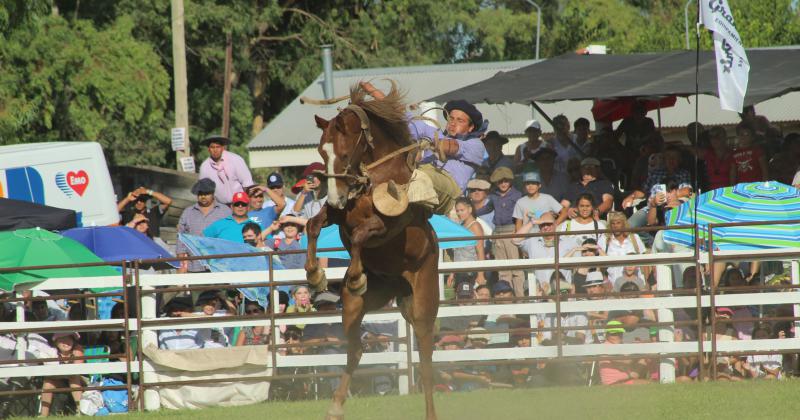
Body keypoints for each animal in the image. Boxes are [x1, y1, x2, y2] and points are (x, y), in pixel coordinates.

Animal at [304, 83, 440, 420]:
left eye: (342, 153)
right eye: (321, 153)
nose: (335, 196)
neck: (373, 175)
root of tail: (398, 285)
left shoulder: (384, 225)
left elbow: (359, 237)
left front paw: (354, 275)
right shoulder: (336, 214)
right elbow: (313, 225)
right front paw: (314, 275)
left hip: (424, 306)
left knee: (426, 357)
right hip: (354, 308)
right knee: (356, 350)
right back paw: (335, 406)